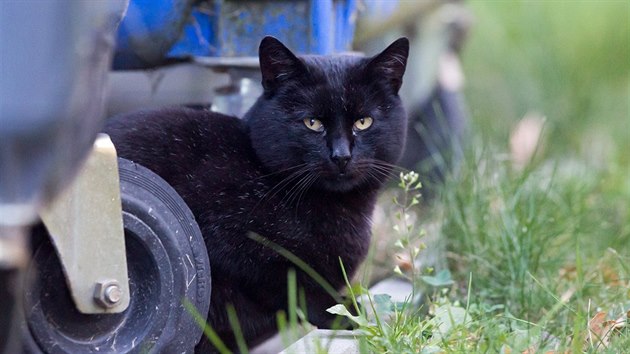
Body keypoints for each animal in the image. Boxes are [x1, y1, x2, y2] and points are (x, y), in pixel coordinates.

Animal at [105, 35, 410, 352]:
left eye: (363, 122)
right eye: (312, 123)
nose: (341, 156)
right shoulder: (220, 233)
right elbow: (290, 280)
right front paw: (345, 312)